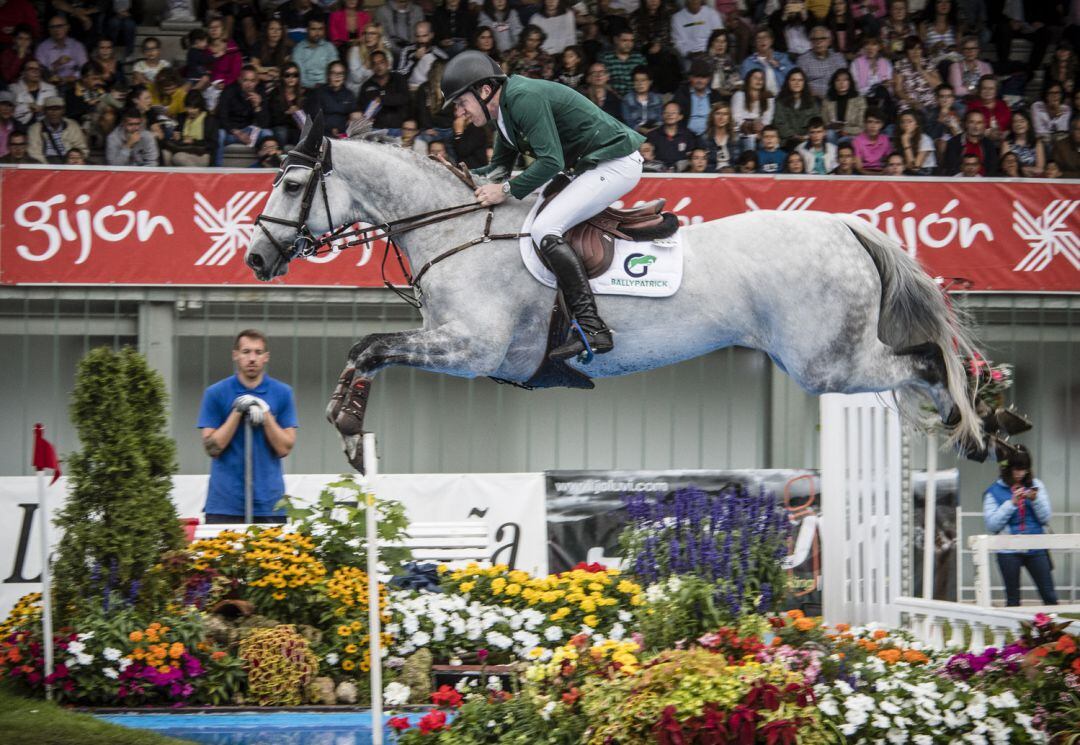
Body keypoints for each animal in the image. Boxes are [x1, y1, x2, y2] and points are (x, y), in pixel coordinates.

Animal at [247, 112, 989, 466]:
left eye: (292, 184)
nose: (256, 256)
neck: (454, 228)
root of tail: (843, 221)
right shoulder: (446, 342)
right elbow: (368, 350)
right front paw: (348, 426)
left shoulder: (471, 350)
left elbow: (371, 345)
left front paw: (347, 426)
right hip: (829, 357)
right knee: (917, 364)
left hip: (824, 362)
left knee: (927, 360)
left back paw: (974, 424)